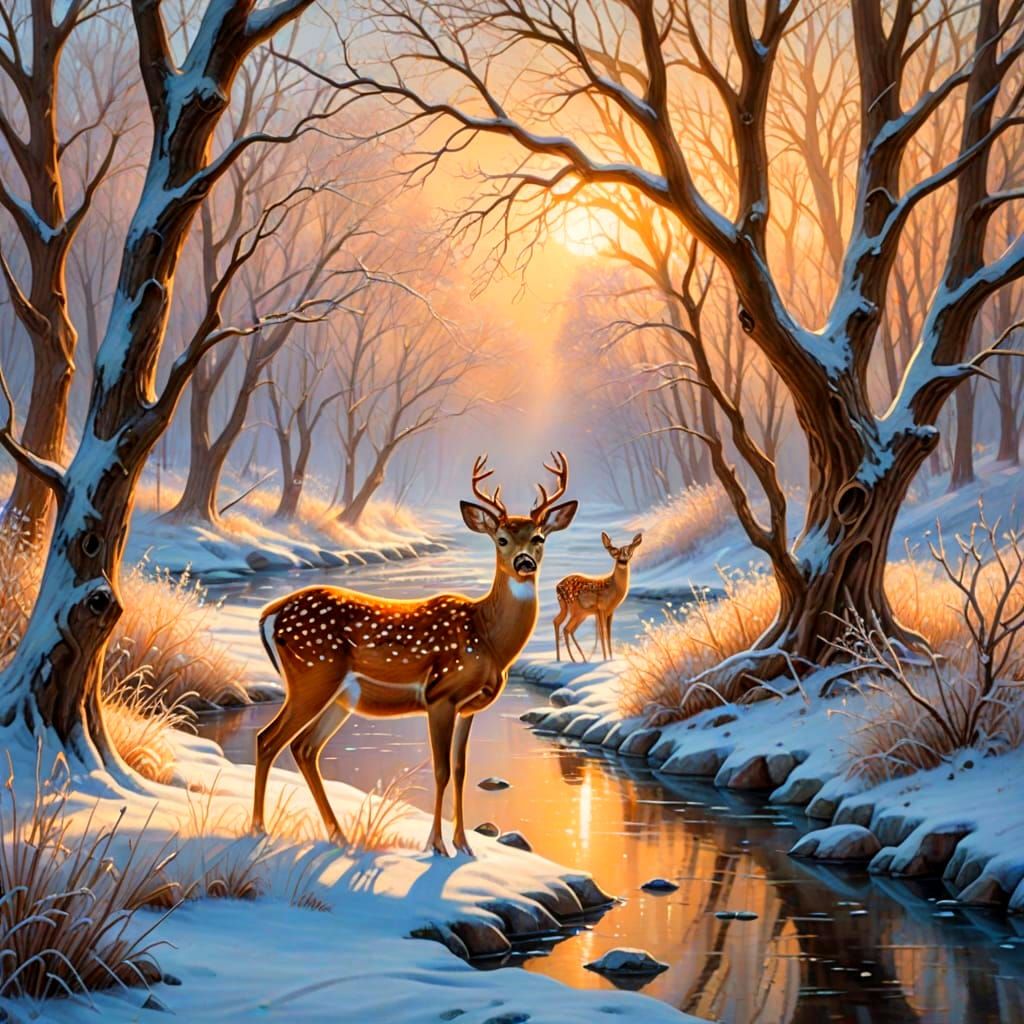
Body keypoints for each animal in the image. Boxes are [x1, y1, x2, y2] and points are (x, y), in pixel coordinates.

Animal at [251, 453, 578, 857]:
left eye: (538, 538)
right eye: (501, 539)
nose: (524, 563)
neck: (487, 638)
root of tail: (268, 615)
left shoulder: (468, 707)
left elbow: (461, 769)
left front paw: (464, 845)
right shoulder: (440, 695)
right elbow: (440, 770)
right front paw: (436, 845)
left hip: (339, 696)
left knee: (304, 748)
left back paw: (338, 835)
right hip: (311, 677)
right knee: (268, 739)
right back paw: (259, 828)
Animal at [553, 531, 642, 662]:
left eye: (630, 553)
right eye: (615, 554)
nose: (623, 561)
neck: (613, 590)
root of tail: (557, 587)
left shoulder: (610, 611)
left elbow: (608, 634)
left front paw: (610, 658)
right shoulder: (600, 608)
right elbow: (602, 633)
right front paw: (606, 659)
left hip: (575, 611)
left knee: (560, 623)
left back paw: (565, 659)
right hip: (575, 609)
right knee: (566, 628)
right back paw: (576, 659)